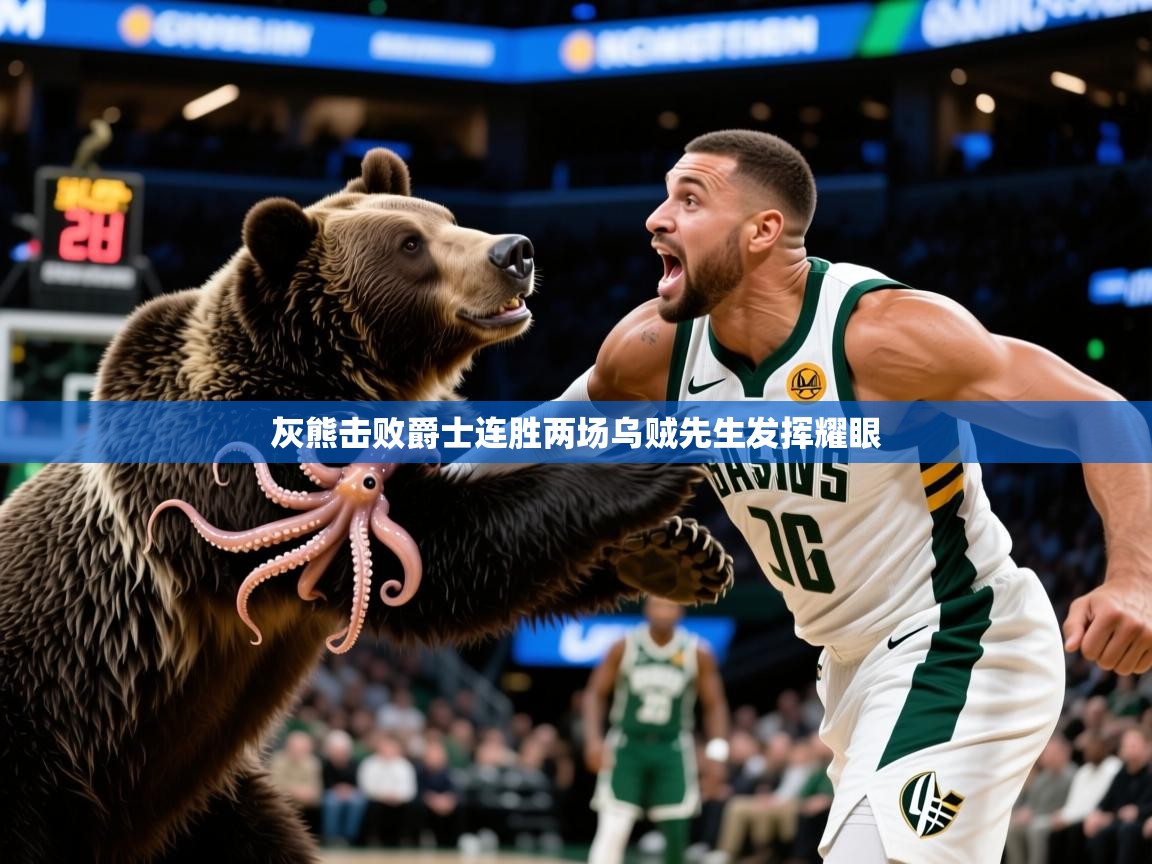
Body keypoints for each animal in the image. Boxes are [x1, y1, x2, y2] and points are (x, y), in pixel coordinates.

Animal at [0, 149, 731, 863]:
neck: (324, 384)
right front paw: (638, 469)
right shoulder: (221, 485)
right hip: (51, 755)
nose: (514, 251)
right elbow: (423, 562)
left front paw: (679, 554)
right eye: (410, 245)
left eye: (444, 217)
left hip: (202, 806)